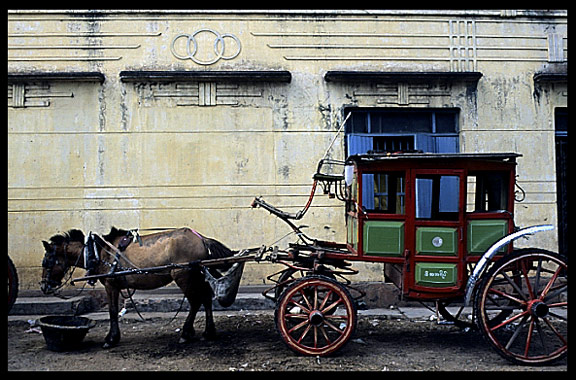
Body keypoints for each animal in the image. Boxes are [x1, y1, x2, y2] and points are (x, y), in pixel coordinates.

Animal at [40, 226, 235, 348]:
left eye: (47, 261)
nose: (44, 286)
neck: (97, 253)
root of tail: (200, 238)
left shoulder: (111, 285)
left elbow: (112, 311)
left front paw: (111, 339)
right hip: (198, 275)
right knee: (206, 298)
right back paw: (208, 332)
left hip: (183, 276)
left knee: (195, 302)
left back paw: (186, 333)